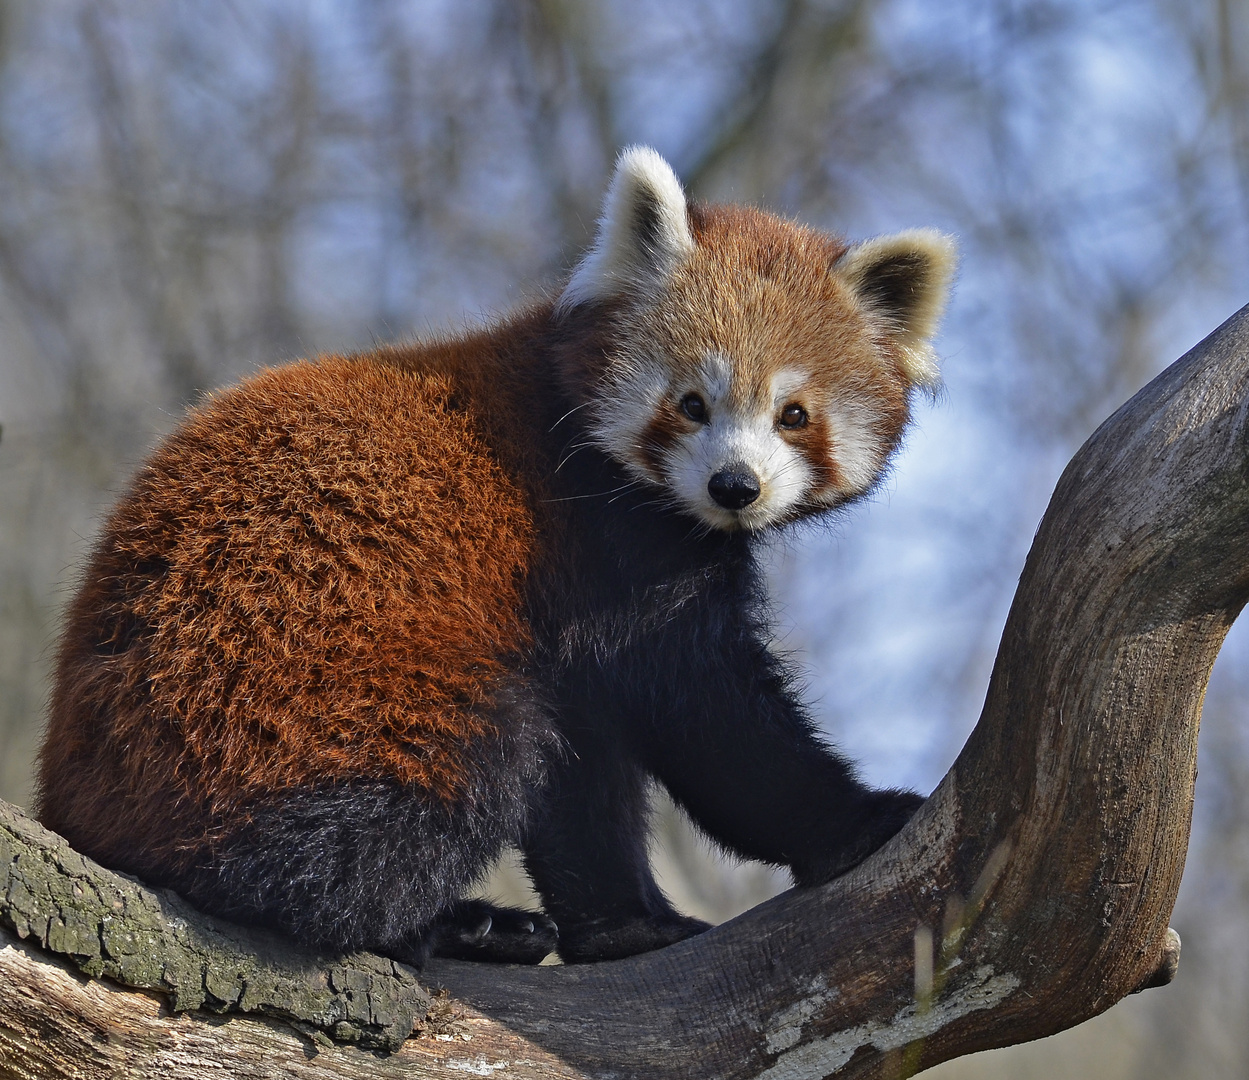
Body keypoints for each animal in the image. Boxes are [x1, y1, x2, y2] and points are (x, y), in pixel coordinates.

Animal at [36, 147, 954, 963]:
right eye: (692, 404)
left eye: (793, 415)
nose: (734, 486)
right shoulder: (604, 546)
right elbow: (710, 717)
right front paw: (856, 821)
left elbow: (586, 770)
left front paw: (623, 926)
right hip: (300, 699)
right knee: (435, 787)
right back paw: (438, 925)